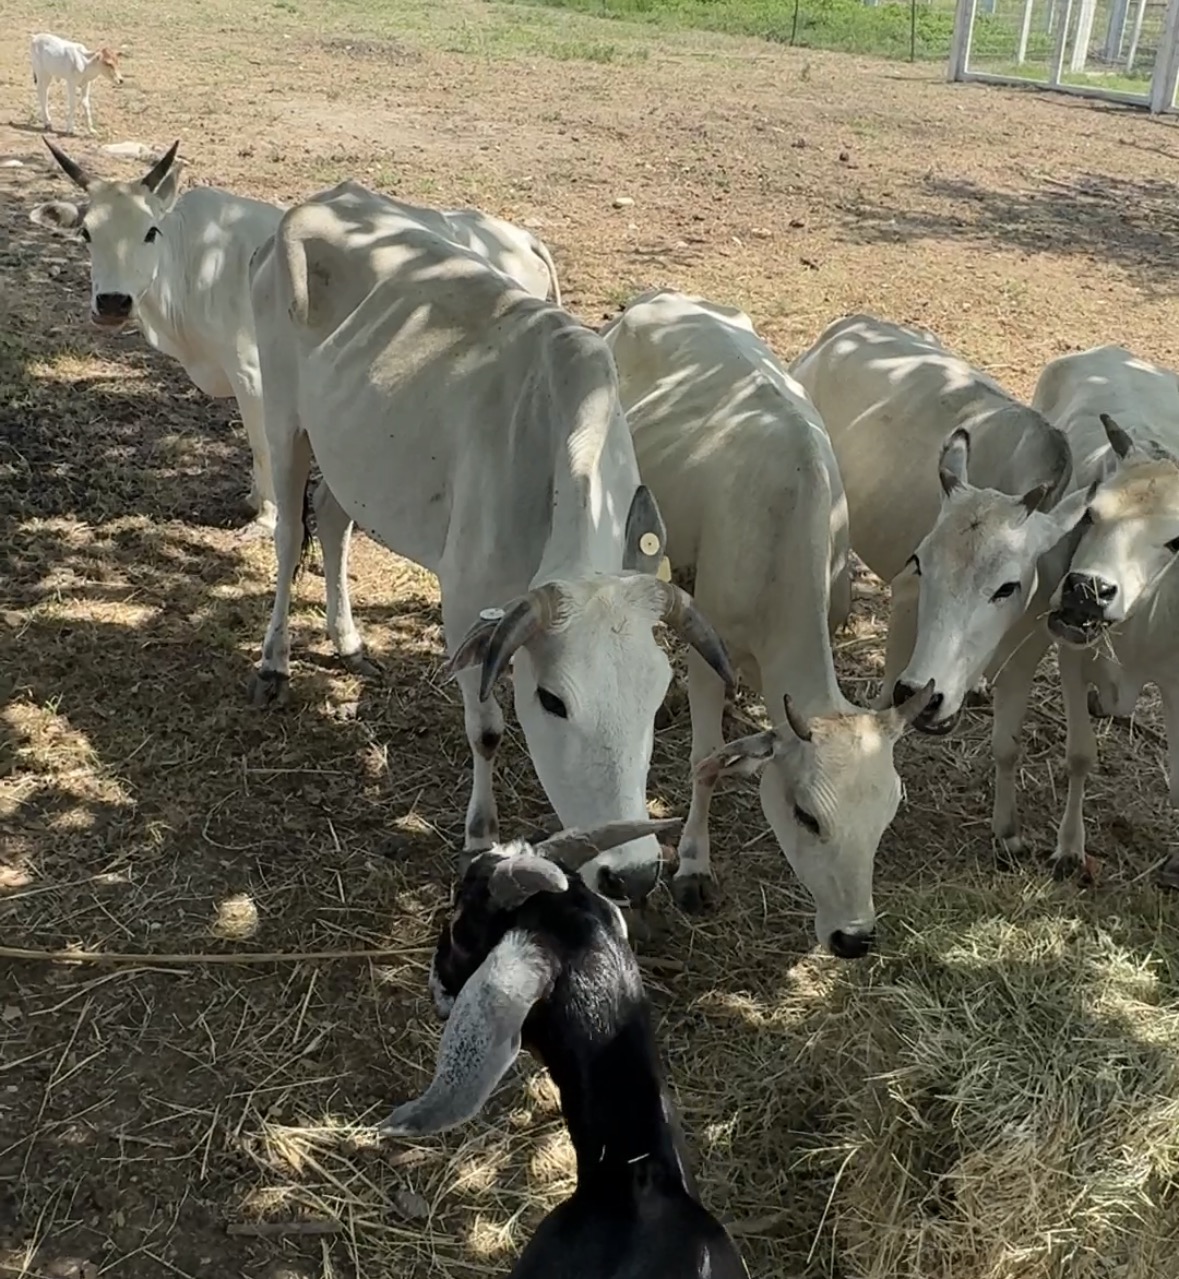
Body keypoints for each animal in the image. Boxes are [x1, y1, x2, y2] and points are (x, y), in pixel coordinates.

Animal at [28, 141, 564, 536]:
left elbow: (260, 441)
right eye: (86, 234)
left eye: (150, 231)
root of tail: (517, 237)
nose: (112, 302)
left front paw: (266, 516)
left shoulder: (252, 372)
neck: (194, 261)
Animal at [246, 181, 734, 905]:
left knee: (331, 523)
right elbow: (487, 729)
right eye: (554, 701)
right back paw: (274, 661)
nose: (634, 873)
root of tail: (319, 200)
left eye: (655, 692)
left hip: (350, 458)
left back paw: (349, 640)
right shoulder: (463, 605)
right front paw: (480, 835)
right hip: (285, 423)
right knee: (286, 540)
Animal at [599, 289, 932, 956]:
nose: (854, 938)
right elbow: (705, 760)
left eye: (887, 814)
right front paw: (694, 866)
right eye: (807, 815)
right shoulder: (709, 650)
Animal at [789, 314, 1093, 868]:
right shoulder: (906, 600)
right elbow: (885, 706)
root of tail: (848, 325)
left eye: (1007, 586)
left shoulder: (1033, 642)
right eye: (920, 564)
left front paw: (1008, 832)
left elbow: (1008, 743)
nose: (925, 698)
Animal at [1037, 345, 1179, 887]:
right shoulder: (1071, 655)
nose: (1088, 590)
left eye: (1176, 541)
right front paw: (1069, 849)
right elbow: (1080, 756)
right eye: (1090, 512)